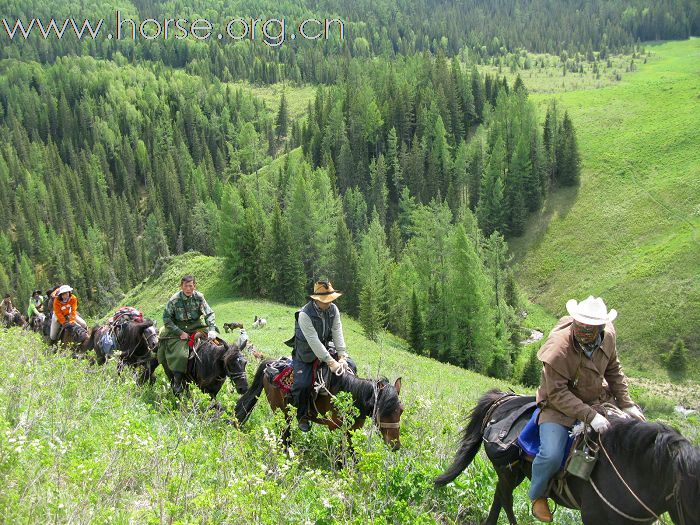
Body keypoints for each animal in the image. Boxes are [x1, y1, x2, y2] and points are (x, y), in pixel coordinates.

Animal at [234, 360, 402, 450]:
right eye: (382, 411)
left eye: (401, 411)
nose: (395, 445)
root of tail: (270, 364)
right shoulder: (337, 428)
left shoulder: (351, 431)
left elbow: (352, 451)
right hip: (280, 411)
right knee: (284, 432)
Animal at [434, 388, 696, 524]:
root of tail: (503, 399)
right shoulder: (593, 516)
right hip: (508, 471)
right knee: (506, 499)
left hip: (514, 472)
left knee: (499, 496)